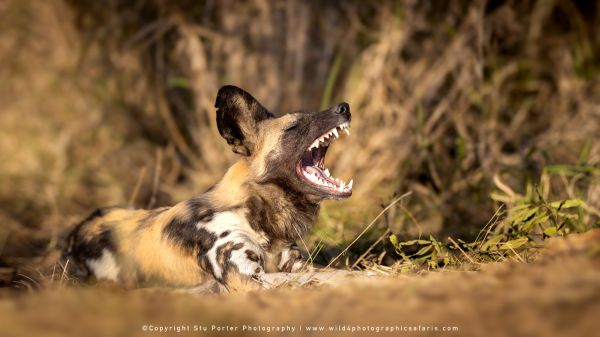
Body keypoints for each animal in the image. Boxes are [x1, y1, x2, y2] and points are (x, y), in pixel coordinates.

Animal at [61, 84, 352, 292]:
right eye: (294, 126)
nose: (345, 107)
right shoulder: (249, 279)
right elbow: (325, 282)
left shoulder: (299, 267)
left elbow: (343, 274)